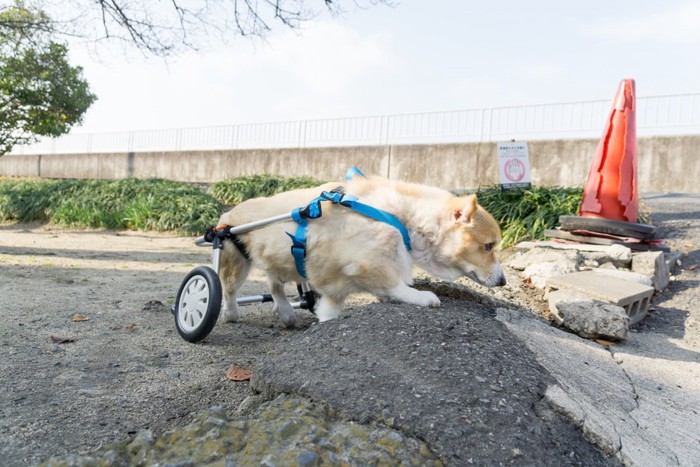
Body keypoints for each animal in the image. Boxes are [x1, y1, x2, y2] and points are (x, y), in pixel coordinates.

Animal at [217, 174, 504, 328]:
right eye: (489, 246)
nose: (503, 281)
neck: (405, 219)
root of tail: (227, 214)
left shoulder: (334, 287)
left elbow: (329, 309)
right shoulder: (367, 264)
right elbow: (396, 285)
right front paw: (423, 297)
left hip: (279, 261)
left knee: (274, 285)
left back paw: (285, 311)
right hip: (235, 261)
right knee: (228, 289)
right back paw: (230, 314)